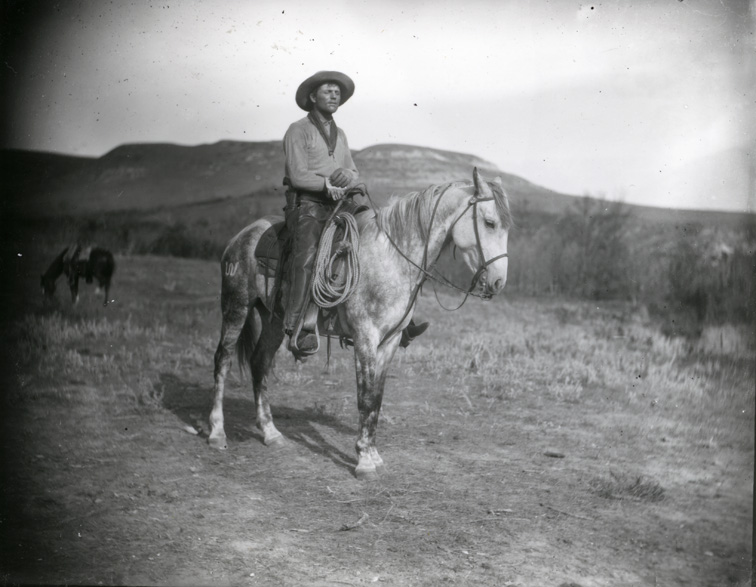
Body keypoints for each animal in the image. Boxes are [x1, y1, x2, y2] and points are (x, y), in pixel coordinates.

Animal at [209, 168, 512, 480]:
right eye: (489, 222)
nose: (499, 282)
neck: (392, 259)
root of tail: (241, 236)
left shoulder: (389, 341)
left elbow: (376, 398)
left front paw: (374, 454)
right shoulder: (366, 337)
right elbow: (364, 397)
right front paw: (364, 461)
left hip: (273, 320)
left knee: (259, 363)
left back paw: (270, 432)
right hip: (236, 307)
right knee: (223, 360)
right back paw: (217, 433)